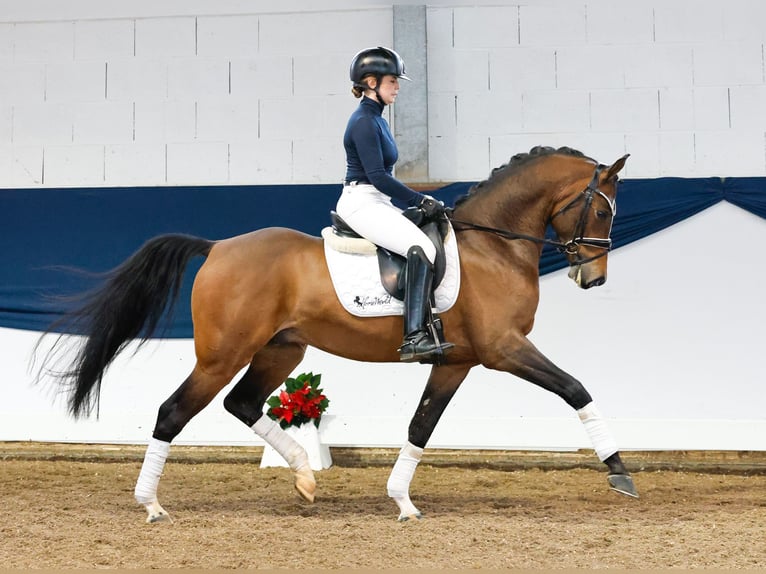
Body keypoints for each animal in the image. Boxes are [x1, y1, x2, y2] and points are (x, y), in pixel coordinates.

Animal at [40, 146, 636, 524]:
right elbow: (576, 389)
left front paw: (402, 502)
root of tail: (217, 247)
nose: (594, 278)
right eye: (603, 209)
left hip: (282, 349)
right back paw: (152, 505)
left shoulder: (456, 361)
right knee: (173, 412)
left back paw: (305, 478)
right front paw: (620, 474)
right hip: (221, 355)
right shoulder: (504, 349)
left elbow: (421, 426)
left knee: (242, 403)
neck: (493, 245)